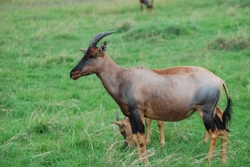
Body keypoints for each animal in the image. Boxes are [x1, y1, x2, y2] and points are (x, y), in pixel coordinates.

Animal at [70, 30, 232, 164]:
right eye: (85, 54)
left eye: (92, 55)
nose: (73, 73)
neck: (124, 77)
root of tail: (219, 80)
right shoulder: (132, 115)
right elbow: (136, 138)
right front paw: (139, 161)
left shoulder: (138, 113)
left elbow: (141, 139)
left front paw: (146, 162)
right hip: (213, 112)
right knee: (223, 130)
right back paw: (222, 161)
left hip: (205, 112)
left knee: (214, 134)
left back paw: (208, 162)